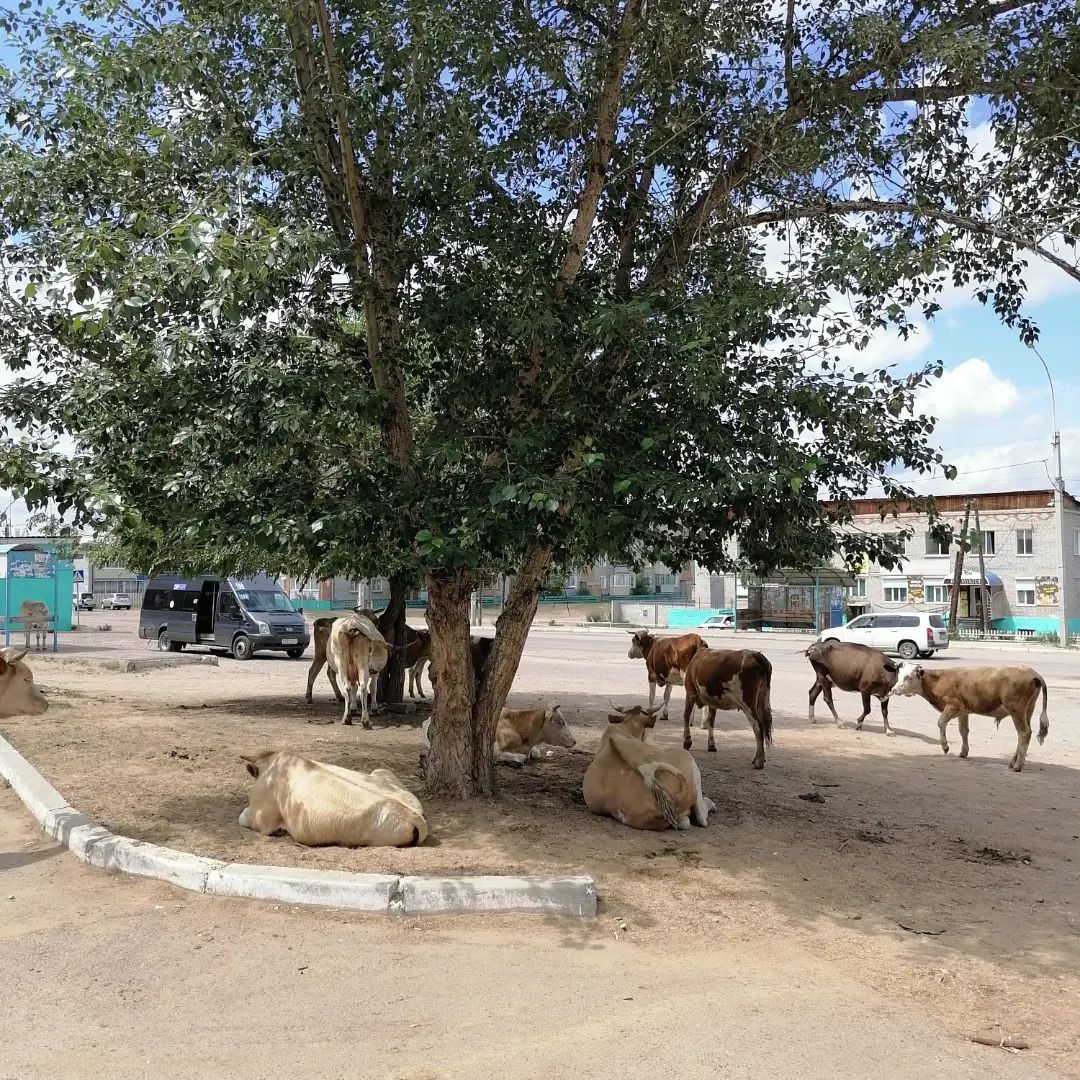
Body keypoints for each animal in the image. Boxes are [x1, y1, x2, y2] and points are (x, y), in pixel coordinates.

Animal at [885, 660, 1045, 773]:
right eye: (898, 675)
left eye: (908, 676)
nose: (893, 689)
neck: (938, 680)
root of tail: (1033, 673)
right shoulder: (963, 712)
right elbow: (963, 731)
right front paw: (963, 752)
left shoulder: (952, 706)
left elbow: (941, 722)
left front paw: (945, 746)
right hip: (1028, 710)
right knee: (1026, 733)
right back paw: (1014, 761)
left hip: (1016, 710)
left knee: (1023, 733)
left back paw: (1018, 765)